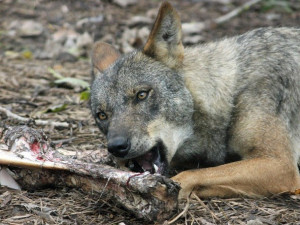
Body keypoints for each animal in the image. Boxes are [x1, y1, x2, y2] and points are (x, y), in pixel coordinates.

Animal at [89, 1, 300, 199]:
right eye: (102, 115)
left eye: (142, 95)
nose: (116, 147)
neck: (231, 92)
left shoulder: (280, 164)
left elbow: (191, 175)